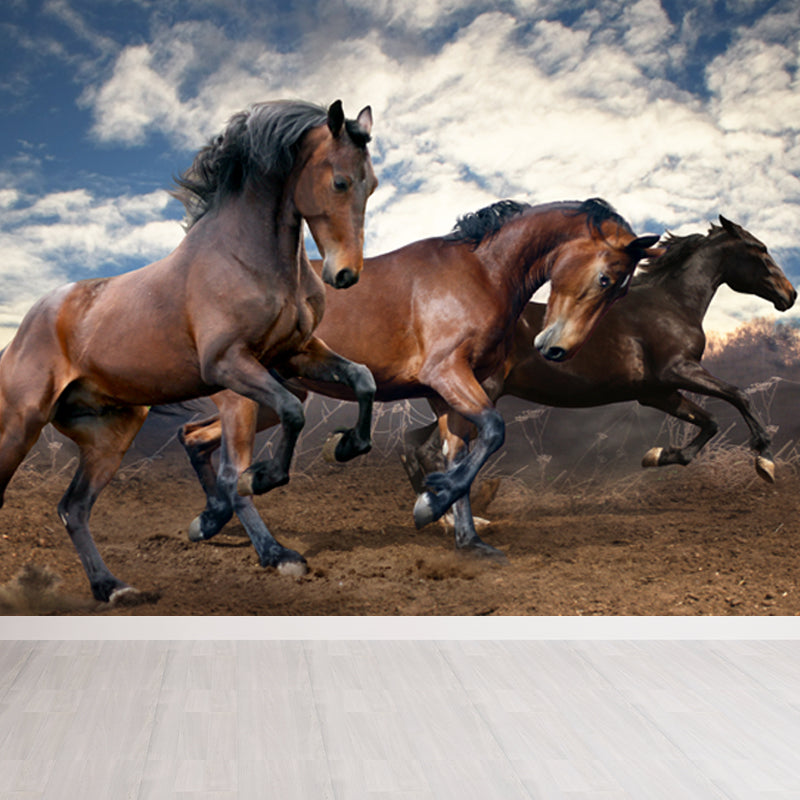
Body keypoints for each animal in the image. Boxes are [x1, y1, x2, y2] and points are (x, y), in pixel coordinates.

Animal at [0, 99, 377, 602]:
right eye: (339, 181)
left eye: (372, 185)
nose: (346, 275)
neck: (246, 257)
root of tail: (30, 321)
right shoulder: (228, 366)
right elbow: (277, 431)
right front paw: (269, 516)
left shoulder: (294, 354)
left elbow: (361, 378)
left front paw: (349, 445)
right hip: (21, 423)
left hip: (110, 434)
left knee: (73, 508)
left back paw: (112, 587)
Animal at [179, 198, 660, 562]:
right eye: (606, 279)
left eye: (619, 290)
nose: (557, 349)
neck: (481, 273)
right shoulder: (447, 373)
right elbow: (493, 431)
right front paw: (430, 505)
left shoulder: (446, 394)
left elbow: (459, 453)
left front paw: (467, 537)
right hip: (246, 399)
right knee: (231, 471)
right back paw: (273, 550)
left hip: (273, 398)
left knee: (194, 436)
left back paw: (208, 521)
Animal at [401, 215, 796, 513]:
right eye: (759, 249)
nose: (790, 295)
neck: (671, 304)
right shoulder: (678, 370)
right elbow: (738, 395)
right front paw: (765, 461)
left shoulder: (658, 392)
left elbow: (710, 421)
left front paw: (658, 456)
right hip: (481, 396)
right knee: (428, 450)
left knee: (414, 445)